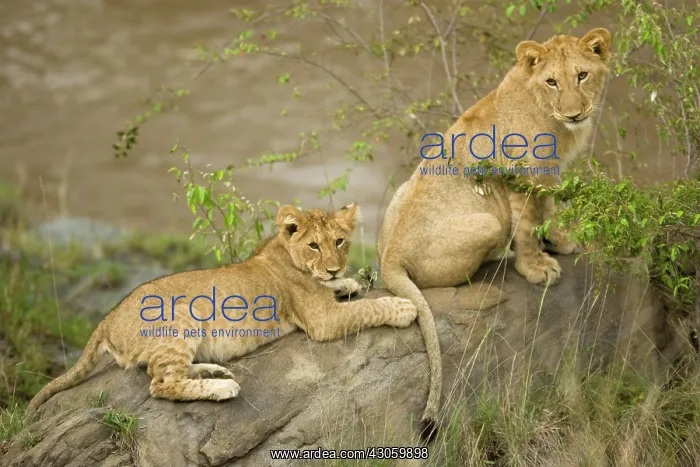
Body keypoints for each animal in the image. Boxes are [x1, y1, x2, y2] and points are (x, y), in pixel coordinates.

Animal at [27, 202, 418, 415]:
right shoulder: (322, 321)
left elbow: (342, 293)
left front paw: (347, 284)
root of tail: (106, 318)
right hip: (183, 315)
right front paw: (403, 307)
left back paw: (212, 371)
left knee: (163, 371)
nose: (335, 268)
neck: (285, 253)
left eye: (338, 241)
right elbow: (367, 309)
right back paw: (222, 388)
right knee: (161, 384)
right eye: (314, 246)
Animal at [377, 28, 612, 441]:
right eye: (552, 81)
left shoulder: (549, 172)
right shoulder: (520, 175)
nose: (574, 113)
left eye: (582, 75)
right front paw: (537, 268)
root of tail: (390, 257)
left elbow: (549, 209)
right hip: (489, 222)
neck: (551, 117)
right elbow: (529, 225)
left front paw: (561, 241)